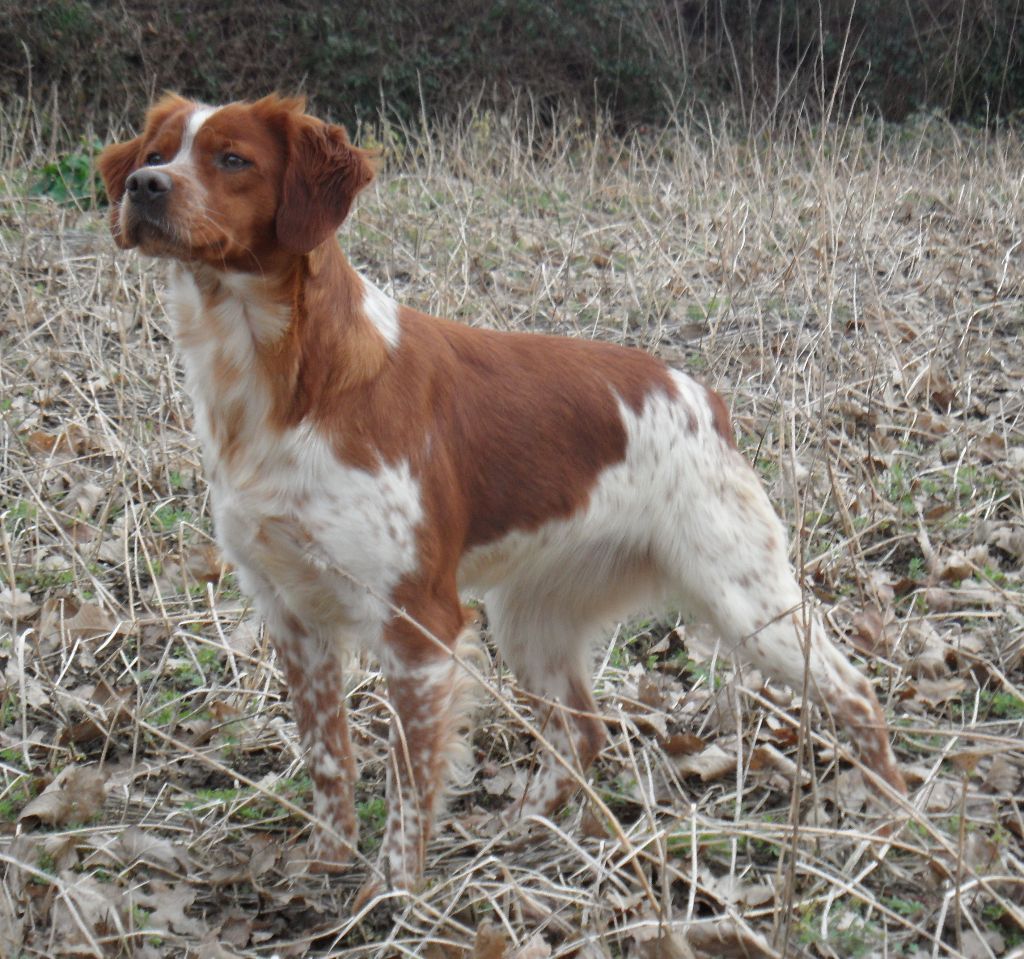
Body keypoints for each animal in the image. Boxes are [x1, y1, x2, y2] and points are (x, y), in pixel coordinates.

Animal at [101, 93, 905, 888]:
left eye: (233, 159)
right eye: (155, 153)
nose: (144, 188)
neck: (283, 381)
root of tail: (702, 397)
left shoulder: (418, 623)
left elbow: (408, 779)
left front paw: (392, 894)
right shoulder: (291, 612)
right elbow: (328, 754)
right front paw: (327, 863)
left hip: (745, 598)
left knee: (856, 693)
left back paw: (889, 825)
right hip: (529, 618)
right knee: (582, 731)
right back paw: (522, 829)